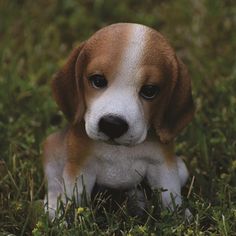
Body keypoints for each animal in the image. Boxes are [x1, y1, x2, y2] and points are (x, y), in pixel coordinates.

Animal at [42, 23, 194, 218]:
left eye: (149, 91)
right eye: (98, 80)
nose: (112, 125)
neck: (118, 150)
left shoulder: (163, 166)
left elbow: (171, 197)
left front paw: (179, 217)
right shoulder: (80, 168)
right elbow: (74, 200)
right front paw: (68, 219)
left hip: (181, 167)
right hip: (52, 151)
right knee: (54, 184)